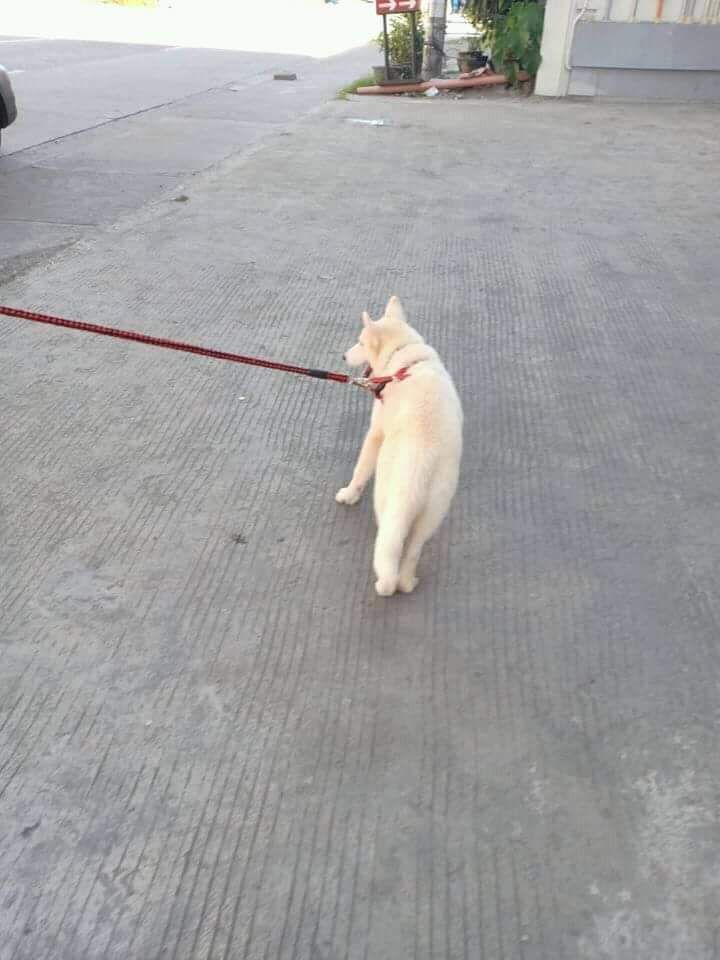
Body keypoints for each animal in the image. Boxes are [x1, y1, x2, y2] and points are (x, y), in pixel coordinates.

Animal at [337, 296, 463, 596]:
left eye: (360, 342)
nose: (343, 357)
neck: (403, 359)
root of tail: (422, 461)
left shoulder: (375, 433)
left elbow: (360, 471)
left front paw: (348, 494)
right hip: (433, 510)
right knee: (412, 551)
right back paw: (406, 582)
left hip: (388, 499)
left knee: (389, 545)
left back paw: (386, 584)